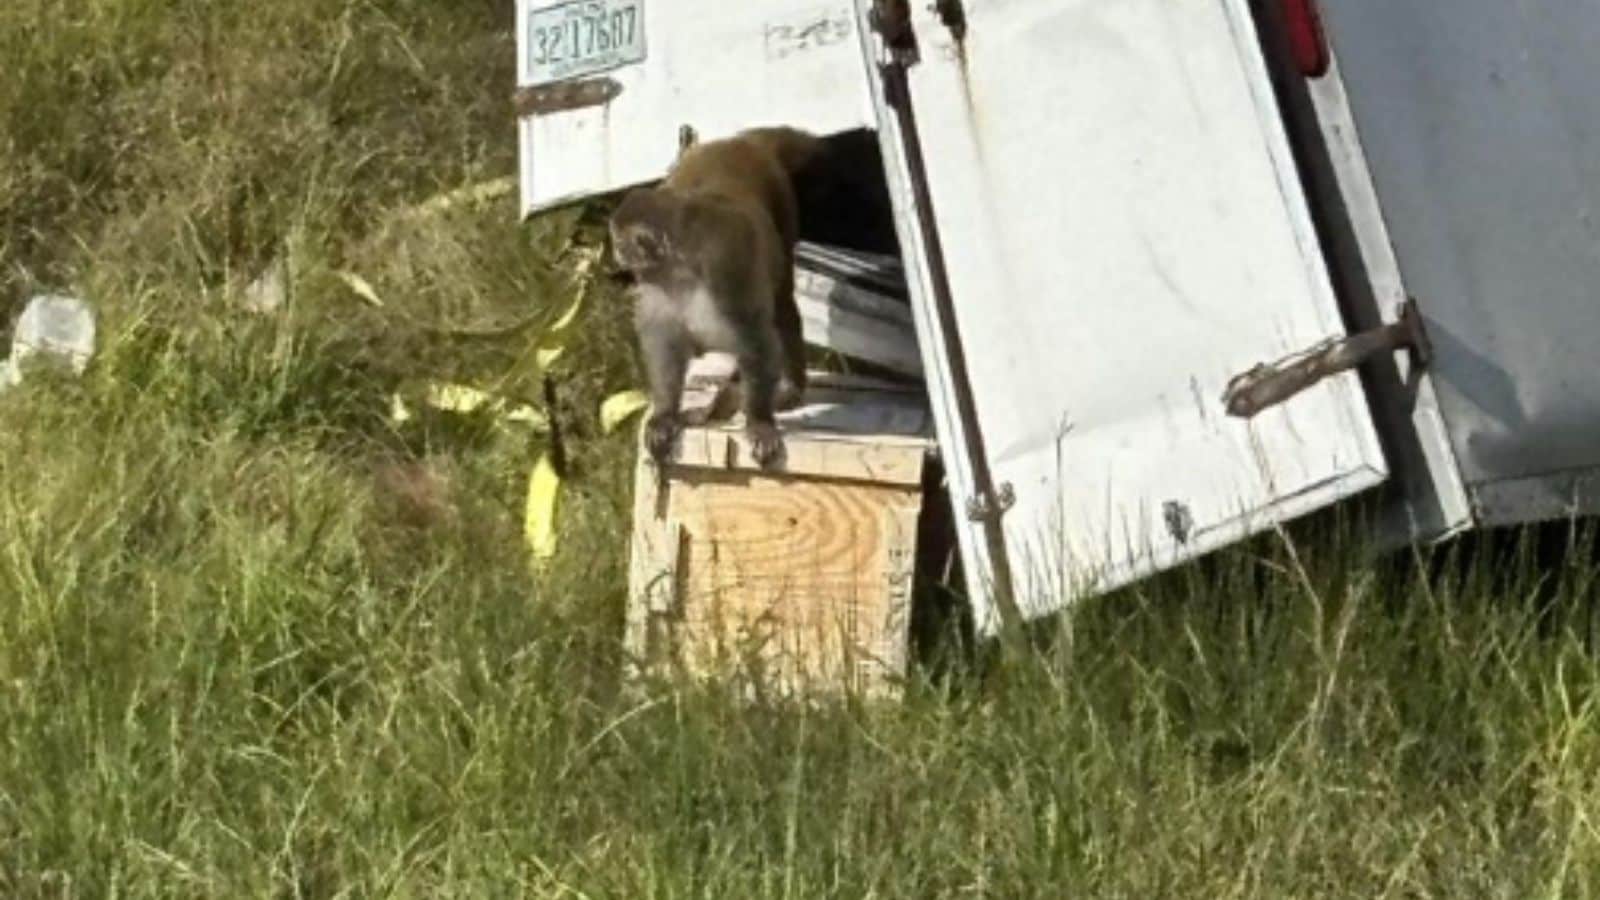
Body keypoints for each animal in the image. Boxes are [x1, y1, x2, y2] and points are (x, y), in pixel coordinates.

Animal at [609, 126, 824, 469]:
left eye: (619, 242)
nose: (615, 252)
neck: (681, 270)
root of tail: (738, 142)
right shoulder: (657, 285)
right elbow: (665, 343)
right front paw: (665, 414)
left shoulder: (725, 270)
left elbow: (756, 340)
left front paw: (759, 421)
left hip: (781, 203)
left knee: (781, 304)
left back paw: (790, 387)